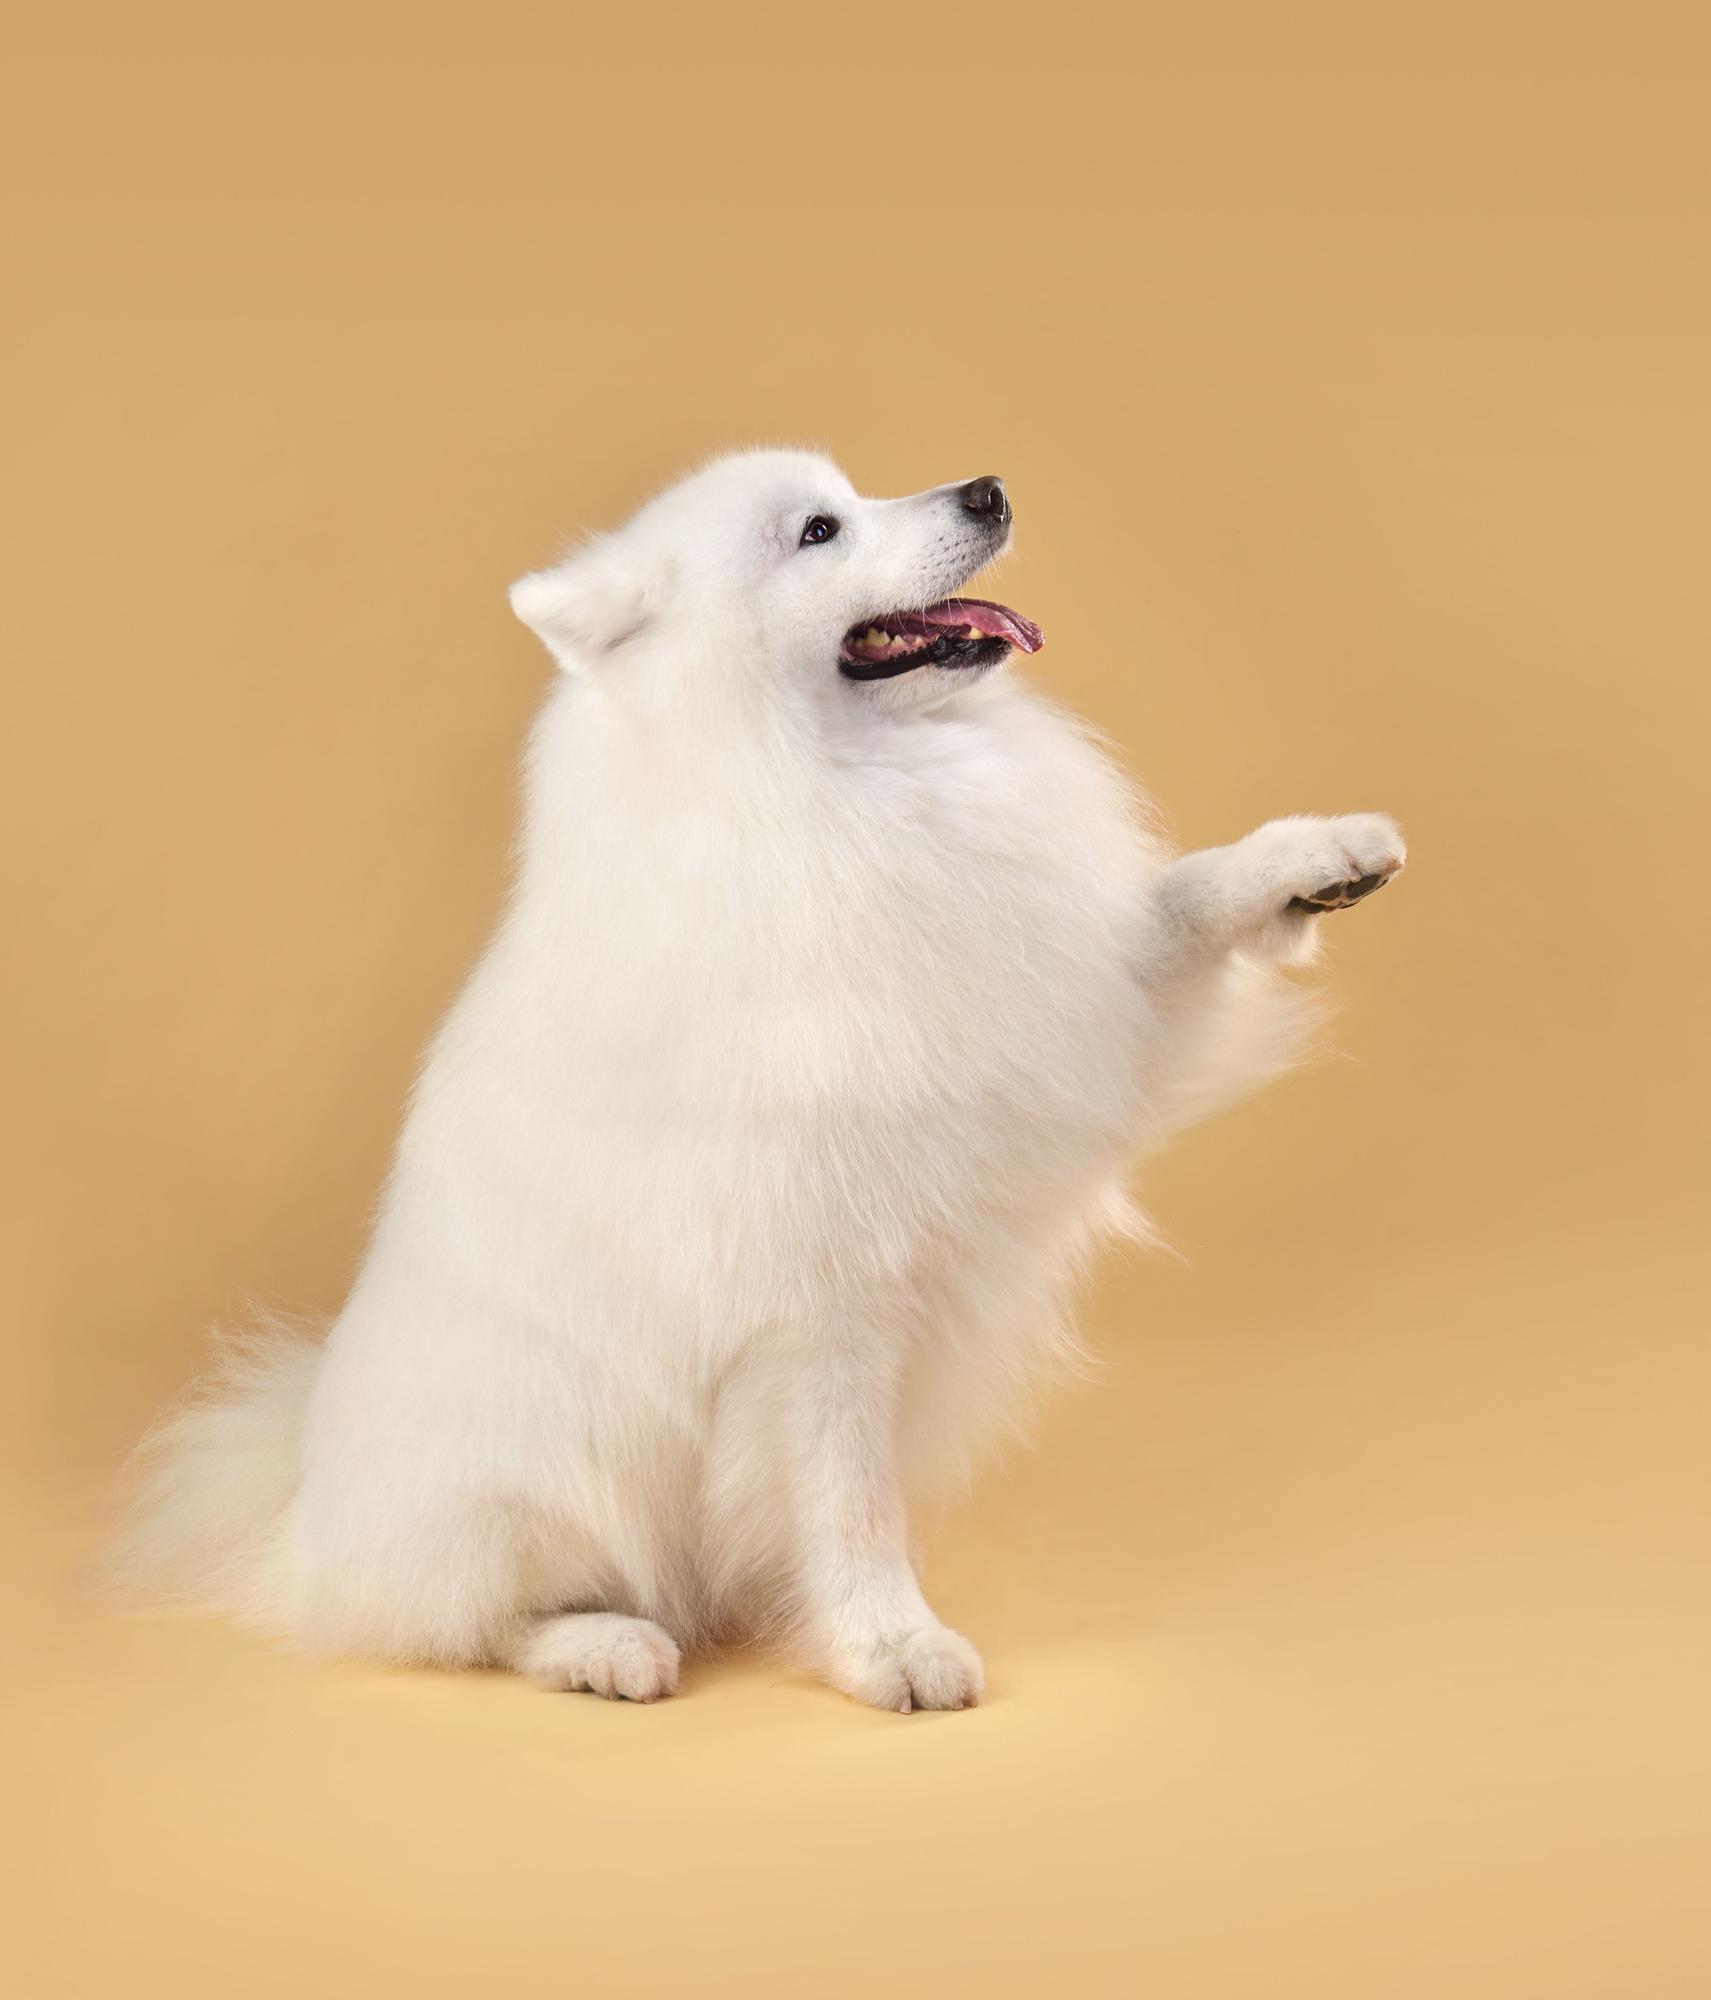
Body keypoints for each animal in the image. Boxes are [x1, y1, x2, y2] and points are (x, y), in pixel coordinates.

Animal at [116, 458, 1407, 1720]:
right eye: (818, 531)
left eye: (856, 487)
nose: (987, 489)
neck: (838, 789)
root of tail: (298, 1508)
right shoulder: (825, 1301)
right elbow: (850, 1500)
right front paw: (892, 1645)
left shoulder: (1085, 1008)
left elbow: (1180, 902)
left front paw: (1322, 855)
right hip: (528, 1476)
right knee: (465, 1625)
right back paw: (605, 1645)